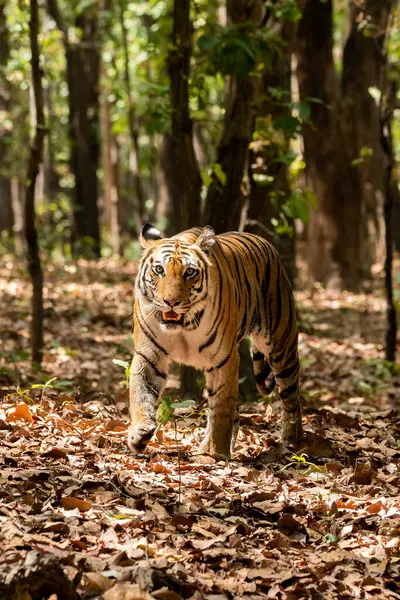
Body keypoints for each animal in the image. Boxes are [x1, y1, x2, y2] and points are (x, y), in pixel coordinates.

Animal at [128, 223, 304, 458]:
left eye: (189, 272)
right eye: (159, 270)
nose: (171, 302)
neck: (182, 327)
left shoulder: (224, 359)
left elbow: (221, 409)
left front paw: (216, 453)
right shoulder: (149, 354)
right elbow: (140, 393)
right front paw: (139, 434)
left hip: (282, 347)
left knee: (292, 399)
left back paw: (292, 443)